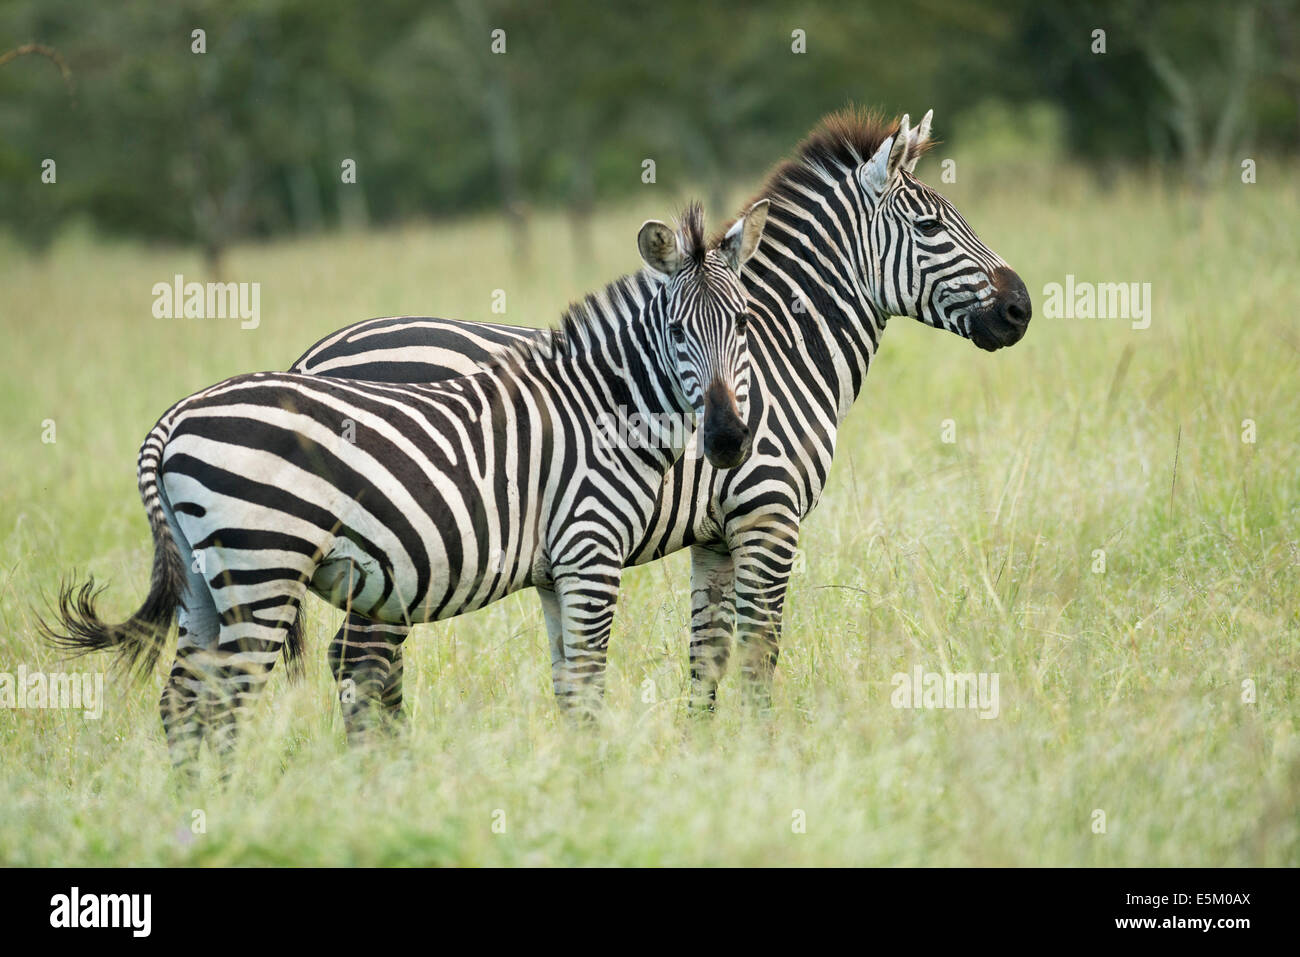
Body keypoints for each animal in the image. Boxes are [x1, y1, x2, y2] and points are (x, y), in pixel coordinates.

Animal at [43, 200, 769, 764]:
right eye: (675, 329)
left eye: (741, 323)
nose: (728, 439)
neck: (600, 405)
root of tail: (173, 419)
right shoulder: (591, 552)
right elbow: (590, 684)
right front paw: (594, 786)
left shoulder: (555, 570)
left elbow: (569, 684)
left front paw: (574, 777)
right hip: (262, 567)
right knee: (226, 703)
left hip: (202, 580)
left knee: (183, 702)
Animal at [289, 108, 1029, 722]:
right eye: (931, 226)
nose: (1020, 307)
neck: (780, 353)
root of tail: (315, 354)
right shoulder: (767, 517)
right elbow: (759, 657)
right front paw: (765, 756)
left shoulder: (716, 535)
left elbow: (708, 656)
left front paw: (702, 758)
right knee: (361, 659)